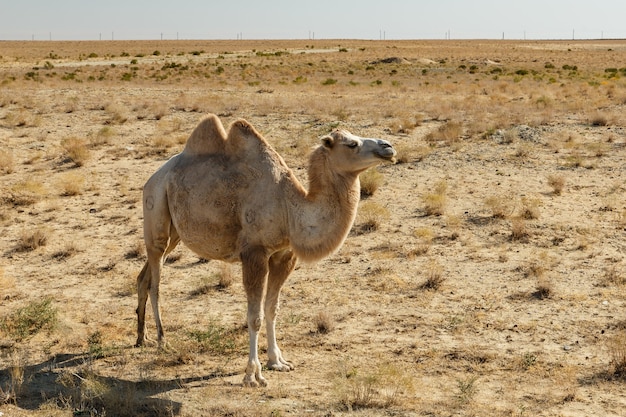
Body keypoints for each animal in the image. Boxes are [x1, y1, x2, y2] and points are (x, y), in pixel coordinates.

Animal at [136, 112, 394, 386]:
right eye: (351, 144)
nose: (388, 147)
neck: (289, 208)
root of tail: (154, 177)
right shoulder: (254, 253)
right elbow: (255, 316)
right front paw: (253, 374)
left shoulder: (283, 255)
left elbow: (272, 309)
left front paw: (277, 361)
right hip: (155, 209)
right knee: (156, 282)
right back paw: (162, 341)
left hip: (174, 232)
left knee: (144, 276)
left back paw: (142, 338)